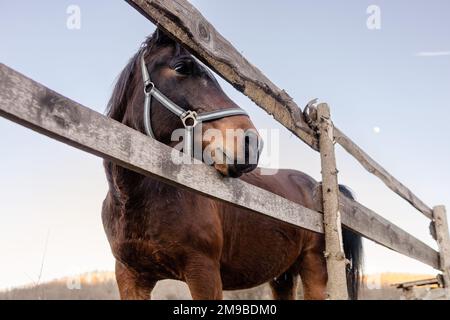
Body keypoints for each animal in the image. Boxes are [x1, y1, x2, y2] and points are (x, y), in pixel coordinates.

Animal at [103, 28, 362, 300]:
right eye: (182, 68)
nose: (251, 143)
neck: (136, 200)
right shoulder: (130, 277)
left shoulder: (203, 272)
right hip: (282, 276)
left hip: (314, 268)